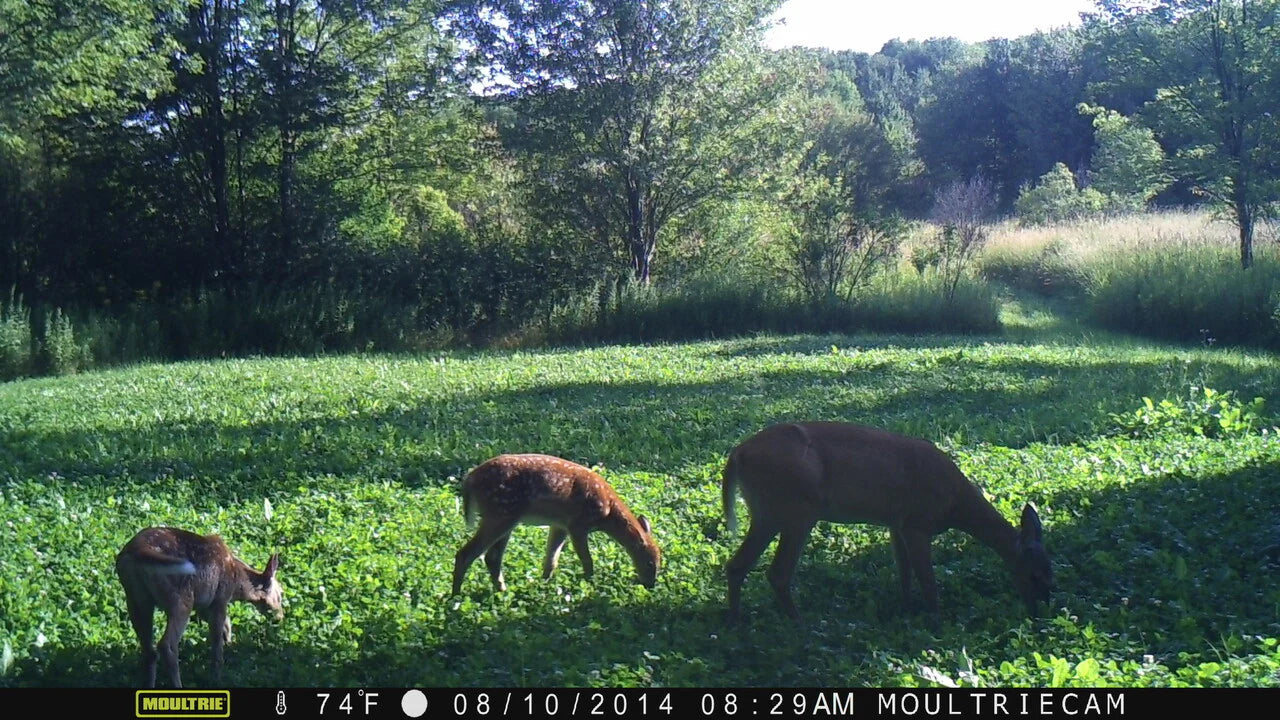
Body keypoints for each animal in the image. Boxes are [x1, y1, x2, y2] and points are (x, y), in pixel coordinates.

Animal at [116, 527, 284, 681]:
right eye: (281, 594)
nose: (280, 617)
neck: (237, 581)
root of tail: (137, 550)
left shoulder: (203, 605)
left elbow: (226, 627)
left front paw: (229, 646)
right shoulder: (220, 598)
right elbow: (217, 640)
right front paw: (217, 676)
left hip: (136, 597)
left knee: (149, 652)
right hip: (180, 597)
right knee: (166, 646)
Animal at [450, 453, 665, 594]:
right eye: (649, 562)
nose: (651, 585)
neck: (607, 512)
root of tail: (468, 480)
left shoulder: (560, 525)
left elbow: (551, 559)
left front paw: (544, 585)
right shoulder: (578, 524)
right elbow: (587, 560)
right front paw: (590, 584)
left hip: (505, 517)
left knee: (491, 557)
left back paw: (501, 590)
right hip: (500, 514)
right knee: (466, 554)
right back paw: (456, 597)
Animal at [727, 420, 1054, 622]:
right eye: (1035, 576)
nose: (1040, 611)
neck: (955, 503)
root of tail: (737, 454)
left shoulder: (896, 524)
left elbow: (904, 572)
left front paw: (906, 609)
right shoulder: (917, 523)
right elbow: (926, 578)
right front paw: (937, 621)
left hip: (766, 512)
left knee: (736, 564)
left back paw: (737, 624)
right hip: (797, 510)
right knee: (777, 573)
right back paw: (800, 624)